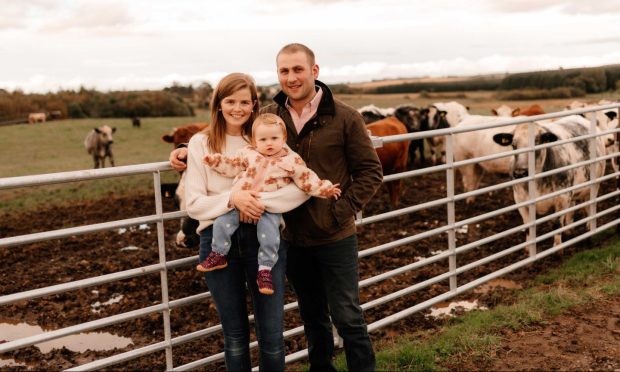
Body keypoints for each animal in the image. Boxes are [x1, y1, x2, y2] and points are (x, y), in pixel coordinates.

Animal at [490, 115, 604, 250]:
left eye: (537, 142)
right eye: (513, 145)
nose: (519, 173)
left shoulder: (562, 198)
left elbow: (557, 224)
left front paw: (557, 249)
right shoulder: (520, 201)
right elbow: (528, 227)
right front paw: (528, 250)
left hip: (594, 185)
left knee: (590, 206)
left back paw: (589, 229)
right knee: (572, 208)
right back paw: (569, 229)